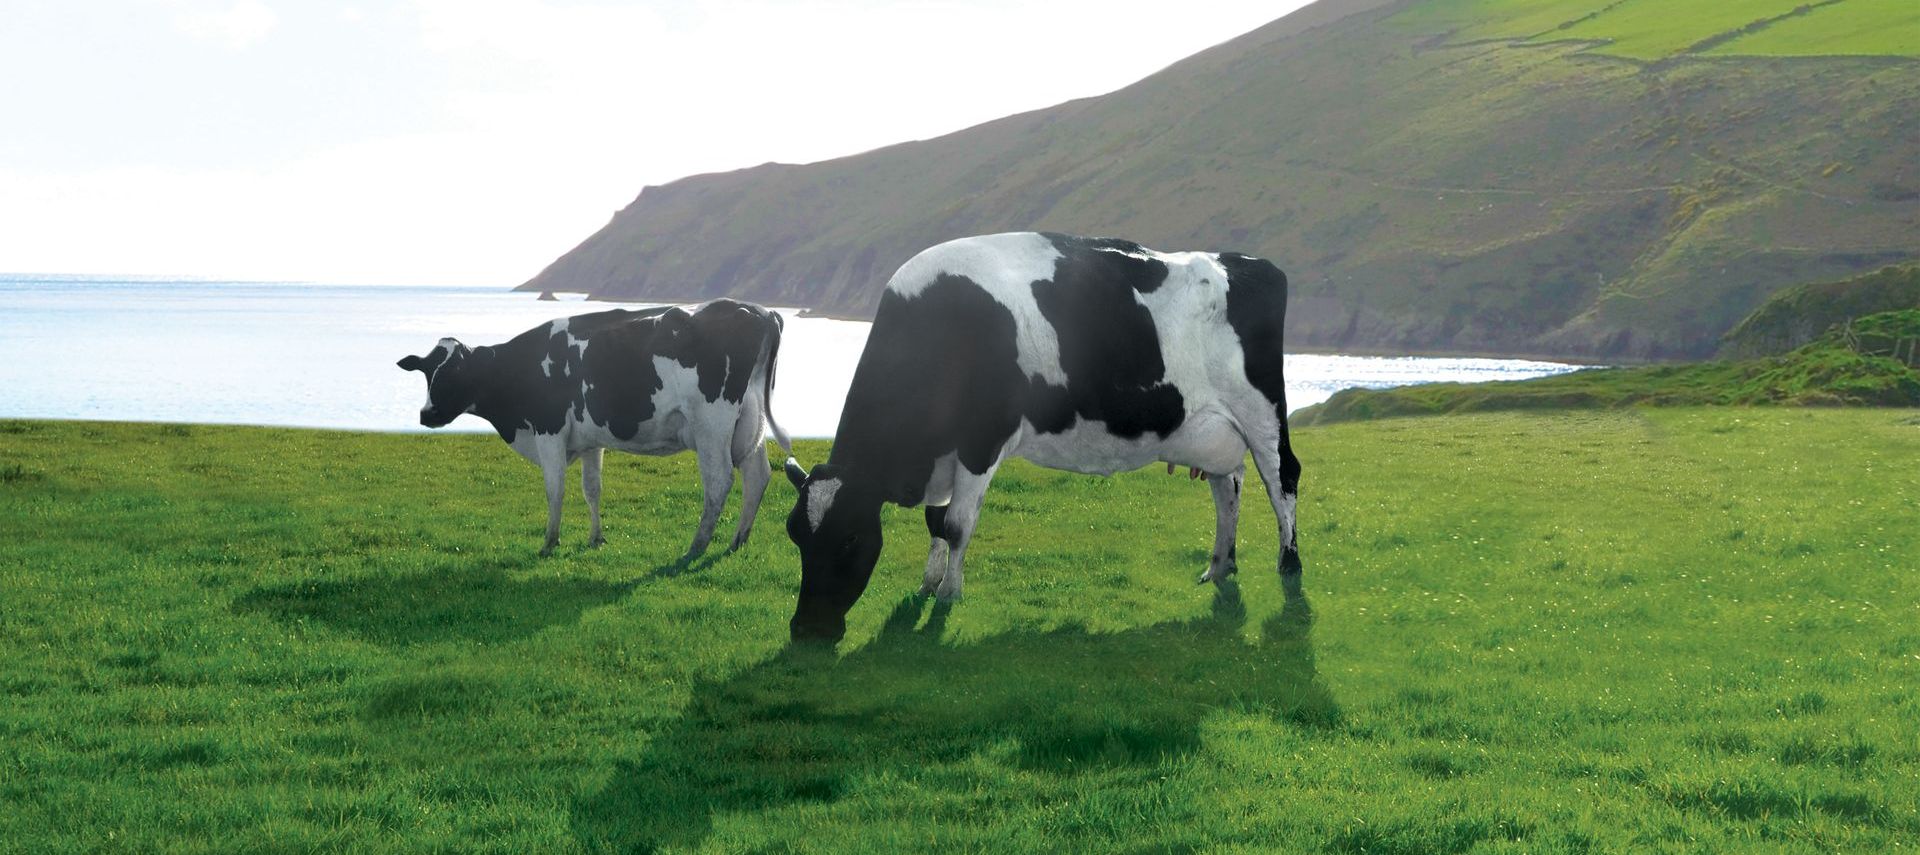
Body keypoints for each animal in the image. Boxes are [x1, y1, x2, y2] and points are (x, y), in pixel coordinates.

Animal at [398, 299, 792, 559]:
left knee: (719, 480)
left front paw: (549, 542)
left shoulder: (549, 431)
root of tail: (761, 311)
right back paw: (737, 540)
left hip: (712, 422)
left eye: (455, 372)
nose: (426, 414)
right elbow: (592, 489)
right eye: (427, 372)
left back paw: (695, 547)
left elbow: (555, 490)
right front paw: (596, 538)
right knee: (757, 474)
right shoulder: (589, 441)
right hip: (748, 421)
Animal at [783, 232, 1301, 643]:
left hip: (1261, 412)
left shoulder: (982, 440)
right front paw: (928, 583)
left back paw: (1289, 566)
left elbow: (956, 524)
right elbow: (936, 522)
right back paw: (1219, 565)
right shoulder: (947, 452)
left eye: (850, 538)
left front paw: (949, 594)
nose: (807, 629)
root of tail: (1252, 262)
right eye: (794, 535)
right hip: (1213, 431)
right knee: (1227, 488)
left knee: (1283, 478)